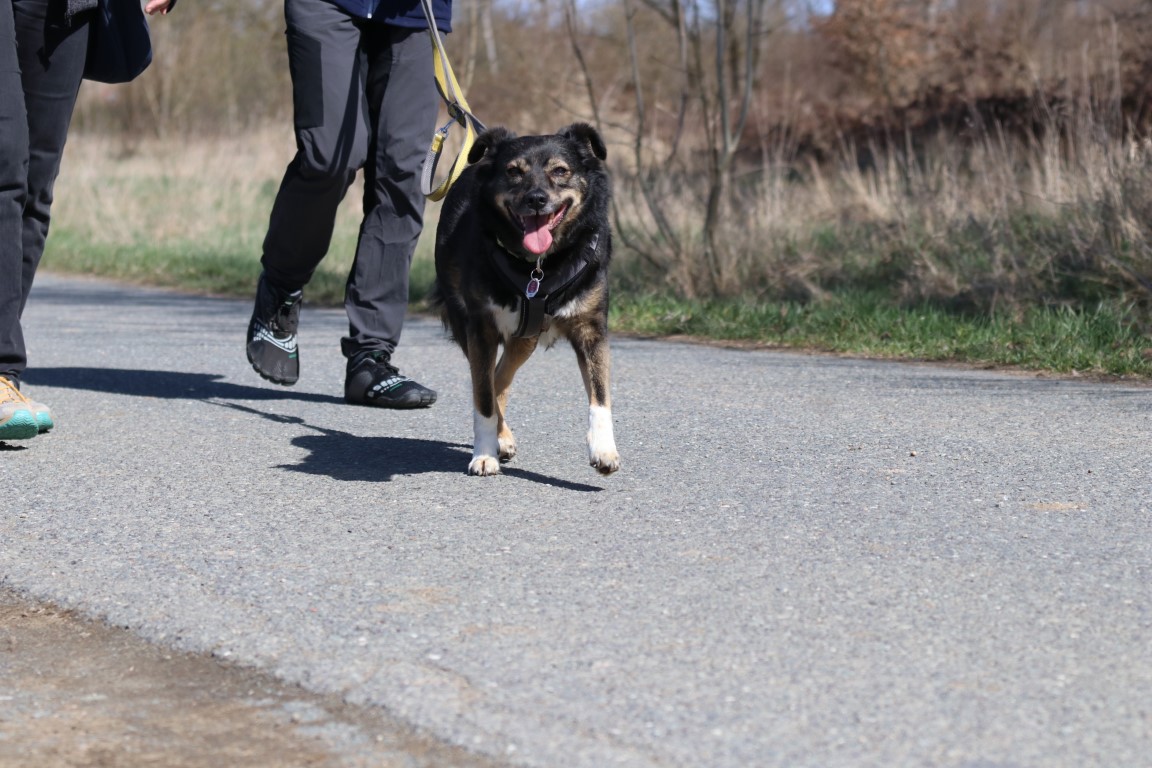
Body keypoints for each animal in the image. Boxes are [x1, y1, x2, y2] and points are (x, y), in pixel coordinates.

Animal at [430, 122, 620, 477]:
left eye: (560, 171)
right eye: (513, 172)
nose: (536, 199)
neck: (539, 266)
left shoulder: (590, 327)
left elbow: (600, 396)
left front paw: (603, 449)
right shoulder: (481, 328)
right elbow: (484, 399)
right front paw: (484, 454)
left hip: (526, 338)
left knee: (500, 376)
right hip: (472, 325)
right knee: (489, 382)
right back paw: (498, 439)